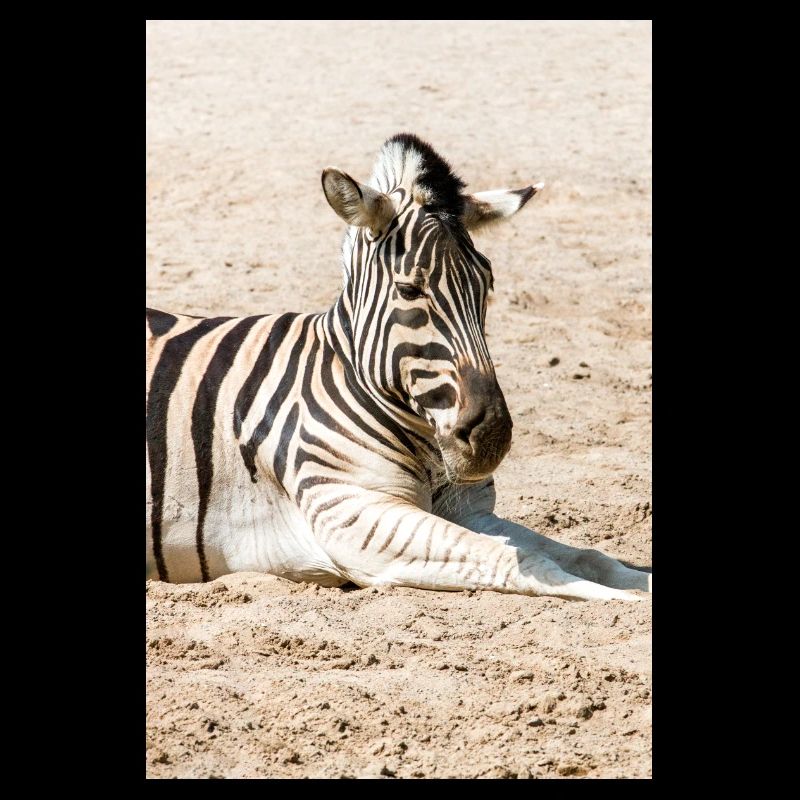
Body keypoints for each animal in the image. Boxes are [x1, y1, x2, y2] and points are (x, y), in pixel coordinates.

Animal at [146, 132, 651, 601]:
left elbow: (587, 555)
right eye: (410, 290)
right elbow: (521, 560)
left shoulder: (470, 510)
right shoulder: (353, 515)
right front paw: (623, 602)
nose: (492, 437)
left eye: (487, 285)